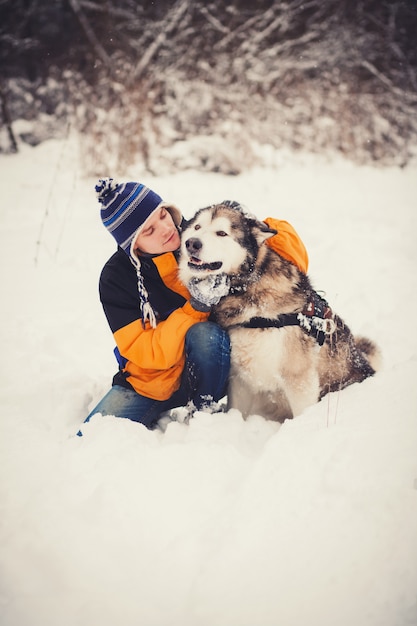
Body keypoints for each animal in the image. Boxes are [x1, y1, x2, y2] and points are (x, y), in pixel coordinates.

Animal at [179, 202, 380, 422]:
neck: (248, 289)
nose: (192, 243)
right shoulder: (240, 379)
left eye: (222, 233)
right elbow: (237, 411)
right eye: (197, 227)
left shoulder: (299, 379)